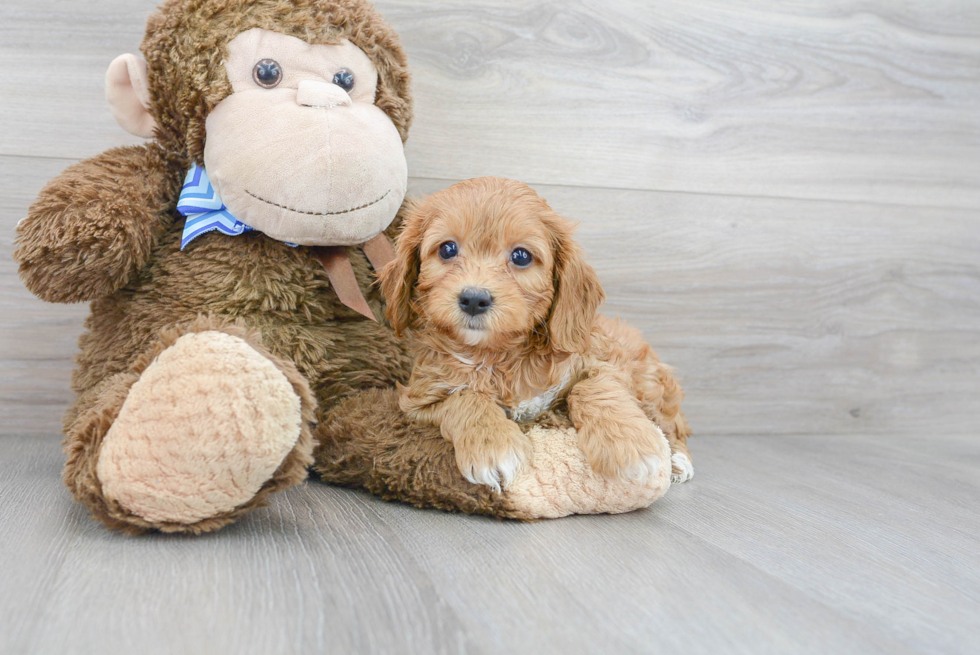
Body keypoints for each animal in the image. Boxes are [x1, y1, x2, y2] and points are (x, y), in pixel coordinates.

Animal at [378, 177, 692, 490]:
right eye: (447, 249)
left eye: (521, 256)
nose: (474, 299)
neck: (497, 356)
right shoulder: (419, 401)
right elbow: (464, 397)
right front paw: (493, 445)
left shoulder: (603, 360)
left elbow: (591, 386)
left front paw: (628, 444)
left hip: (651, 383)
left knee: (672, 424)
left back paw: (678, 460)